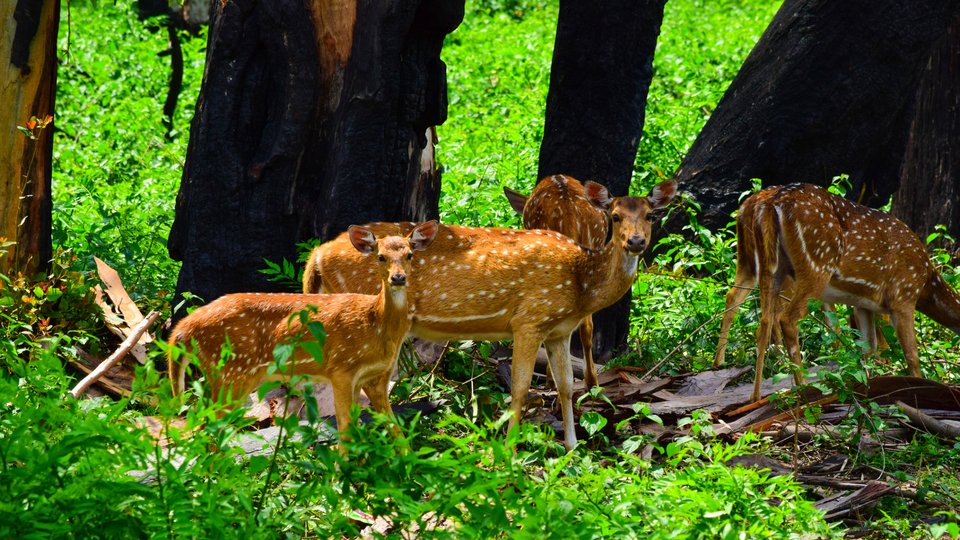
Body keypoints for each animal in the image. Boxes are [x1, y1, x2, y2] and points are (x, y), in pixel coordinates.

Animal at [169, 221, 438, 436]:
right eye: (380, 256)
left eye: (410, 254)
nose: (398, 278)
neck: (375, 323)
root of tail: (183, 328)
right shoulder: (341, 369)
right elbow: (345, 431)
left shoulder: (372, 377)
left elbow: (391, 431)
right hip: (231, 371)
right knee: (205, 428)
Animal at [712, 185, 960, 400]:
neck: (927, 283)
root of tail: (767, 204)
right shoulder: (903, 295)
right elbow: (912, 356)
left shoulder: (864, 304)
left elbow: (867, 350)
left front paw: (869, 387)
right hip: (815, 267)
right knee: (787, 318)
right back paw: (803, 388)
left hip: (767, 267)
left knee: (757, 318)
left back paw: (752, 393)